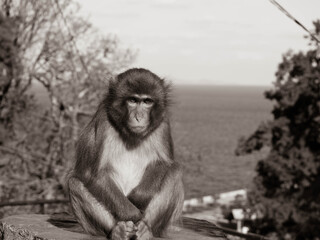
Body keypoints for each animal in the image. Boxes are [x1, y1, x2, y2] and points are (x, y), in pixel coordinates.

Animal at [66, 68, 184, 240]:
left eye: (147, 102)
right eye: (133, 100)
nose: (138, 117)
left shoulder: (162, 122)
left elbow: (164, 164)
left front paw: (137, 199)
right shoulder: (103, 119)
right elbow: (94, 174)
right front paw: (132, 214)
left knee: (174, 173)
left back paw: (145, 230)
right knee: (75, 183)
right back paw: (118, 230)